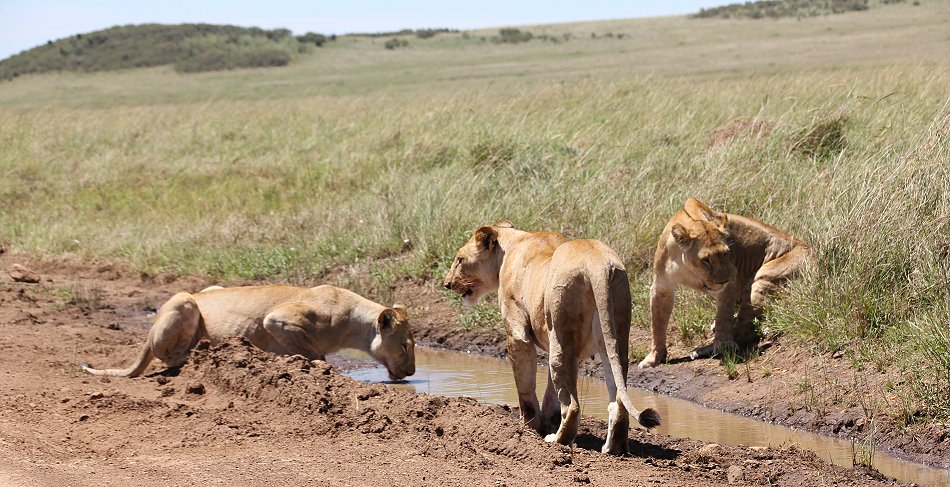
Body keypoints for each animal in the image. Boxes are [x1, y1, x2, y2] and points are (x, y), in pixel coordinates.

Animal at [83, 284, 418, 384]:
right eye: (404, 346)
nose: (414, 372)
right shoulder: (279, 319)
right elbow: (315, 353)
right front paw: (318, 369)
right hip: (184, 301)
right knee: (168, 356)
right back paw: (201, 353)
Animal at [446, 223, 660, 456]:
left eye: (459, 259)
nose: (447, 284)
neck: (510, 244)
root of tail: (596, 262)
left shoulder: (517, 332)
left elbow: (526, 387)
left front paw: (528, 428)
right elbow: (549, 390)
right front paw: (546, 422)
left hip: (562, 333)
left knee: (573, 406)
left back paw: (556, 441)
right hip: (613, 337)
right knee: (618, 400)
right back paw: (613, 449)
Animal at [640, 196, 812, 368]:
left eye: (725, 253)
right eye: (705, 260)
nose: (722, 280)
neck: (689, 267)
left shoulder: (732, 278)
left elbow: (723, 318)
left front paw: (723, 346)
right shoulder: (662, 286)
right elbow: (657, 324)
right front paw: (654, 357)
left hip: (762, 279)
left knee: (744, 330)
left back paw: (705, 349)